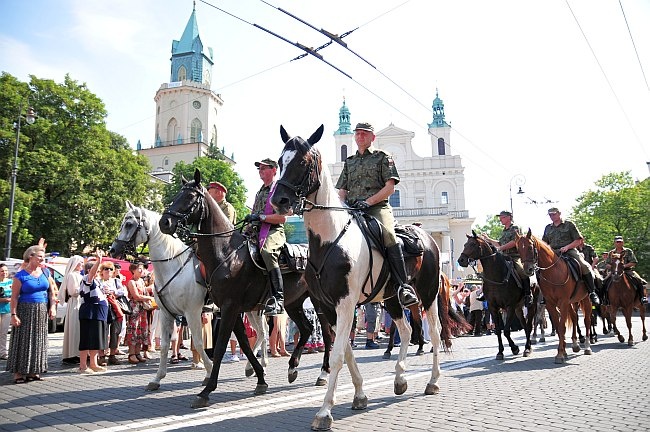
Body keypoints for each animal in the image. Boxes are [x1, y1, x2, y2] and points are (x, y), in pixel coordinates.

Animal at [110, 202, 268, 388]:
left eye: (129, 224)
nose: (113, 250)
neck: (173, 266)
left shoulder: (192, 312)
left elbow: (199, 343)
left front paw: (209, 371)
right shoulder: (166, 313)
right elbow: (165, 345)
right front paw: (157, 378)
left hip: (251, 309)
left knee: (262, 332)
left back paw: (258, 365)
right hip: (250, 309)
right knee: (262, 333)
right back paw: (254, 367)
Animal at [157, 170, 332, 406]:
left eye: (190, 197)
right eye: (177, 194)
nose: (164, 222)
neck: (226, 254)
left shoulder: (230, 308)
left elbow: (221, 346)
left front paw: (207, 390)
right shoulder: (230, 309)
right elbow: (245, 344)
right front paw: (260, 378)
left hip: (318, 302)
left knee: (328, 334)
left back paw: (323, 373)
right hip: (293, 302)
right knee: (306, 329)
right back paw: (293, 368)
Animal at [270, 125, 450, 432]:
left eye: (304, 162)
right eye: (281, 161)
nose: (278, 200)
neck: (329, 240)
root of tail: (425, 235)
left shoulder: (345, 303)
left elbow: (338, 354)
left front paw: (324, 412)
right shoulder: (328, 306)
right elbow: (345, 349)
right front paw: (360, 395)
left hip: (427, 295)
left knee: (435, 333)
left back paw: (433, 381)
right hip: (392, 299)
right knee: (404, 331)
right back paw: (400, 378)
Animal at [454, 231, 536, 360]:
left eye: (473, 244)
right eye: (465, 244)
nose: (461, 260)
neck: (496, 276)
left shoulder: (509, 306)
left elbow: (506, 330)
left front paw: (514, 348)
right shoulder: (493, 307)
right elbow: (498, 330)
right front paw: (500, 352)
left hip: (530, 306)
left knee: (529, 325)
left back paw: (527, 348)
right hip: (518, 308)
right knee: (525, 325)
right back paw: (527, 347)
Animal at [512, 230, 592, 364]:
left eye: (530, 247)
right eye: (518, 249)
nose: (528, 270)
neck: (553, 271)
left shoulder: (563, 302)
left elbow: (561, 327)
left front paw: (560, 354)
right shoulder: (550, 304)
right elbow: (558, 327)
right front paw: (563, 352)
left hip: (585, 299)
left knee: (587, 321)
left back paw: (587, 346)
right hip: (571, 302)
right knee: (574, 318)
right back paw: (575, 344)